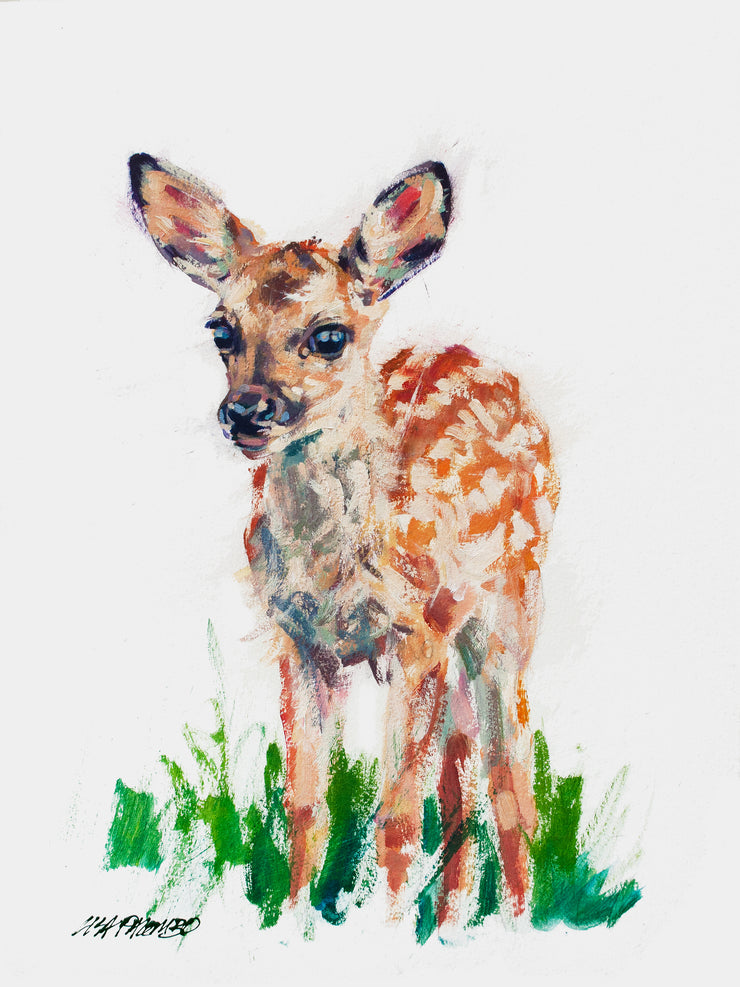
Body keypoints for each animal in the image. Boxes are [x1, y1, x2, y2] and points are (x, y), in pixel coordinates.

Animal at [129, 153, 559, 927]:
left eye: (329, 335)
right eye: (221, 329)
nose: (246, 410)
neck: (331, 569)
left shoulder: (414, 632)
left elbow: (396, 813)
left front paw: (379, 931)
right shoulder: (299, 641)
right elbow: (305, 804)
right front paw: (295, 921)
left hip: (509, 611)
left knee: (508, 778)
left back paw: (514, 922)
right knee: (460, 779)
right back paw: (451, 927)